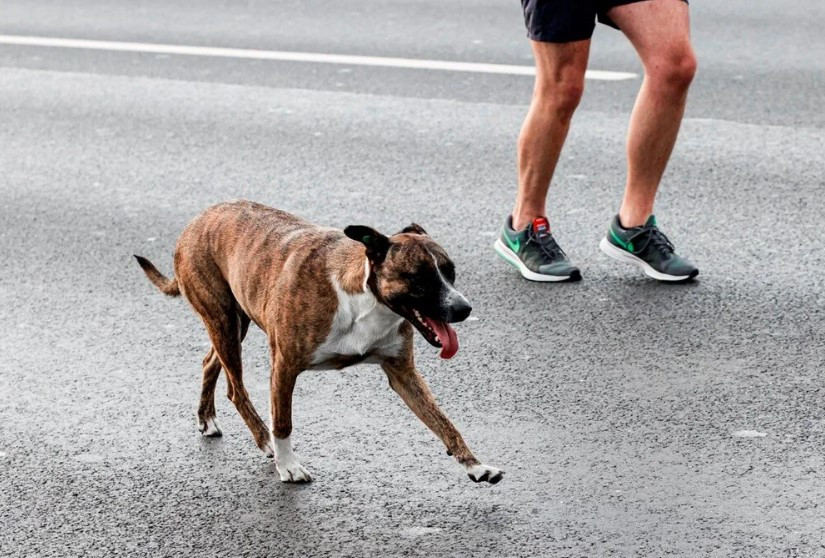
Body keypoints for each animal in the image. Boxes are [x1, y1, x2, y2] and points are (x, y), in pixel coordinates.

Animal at [137, 201, 502, 486]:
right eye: (420, 278)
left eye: (450, 273)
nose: (464, 308)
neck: (364, 301)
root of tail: (197, 220)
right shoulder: (284, 366)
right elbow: (283, 422)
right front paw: (287, 465)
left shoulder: (404, 375)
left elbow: (444, 423)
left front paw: (475, 465)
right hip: (223, 320)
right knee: (236, 390)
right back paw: (263, 440)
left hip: (232, 324)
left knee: (210, 362)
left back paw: (207, 418)